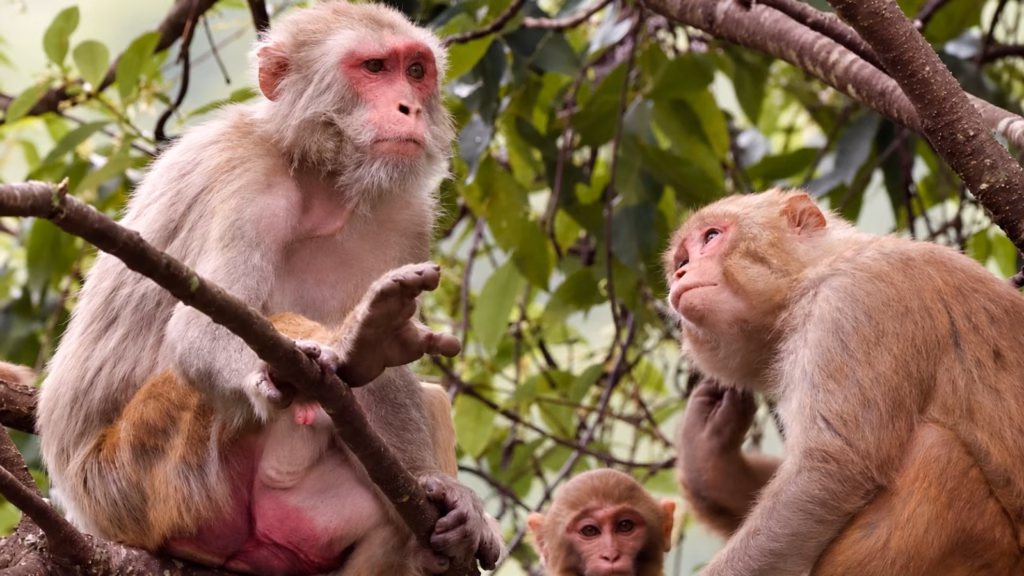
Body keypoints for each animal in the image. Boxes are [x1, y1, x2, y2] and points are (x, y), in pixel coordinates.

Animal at [35, 2, 503, 574]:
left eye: (416, 71)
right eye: (374, 67)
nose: (409, 106)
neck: (320, 177)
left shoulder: (404, 214)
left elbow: (391, 381)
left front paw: (440, 490)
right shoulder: (249, 183)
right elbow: (197, 332)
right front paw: (346, 345)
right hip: (147, 475)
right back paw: (350, 346)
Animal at [663, 187, 1024, 576]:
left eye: (711, 237)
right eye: (682, 258)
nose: (682, 271)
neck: (814, 273)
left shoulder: (854, 302)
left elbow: (829, 470)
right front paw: (708, 462)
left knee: (936, 451)